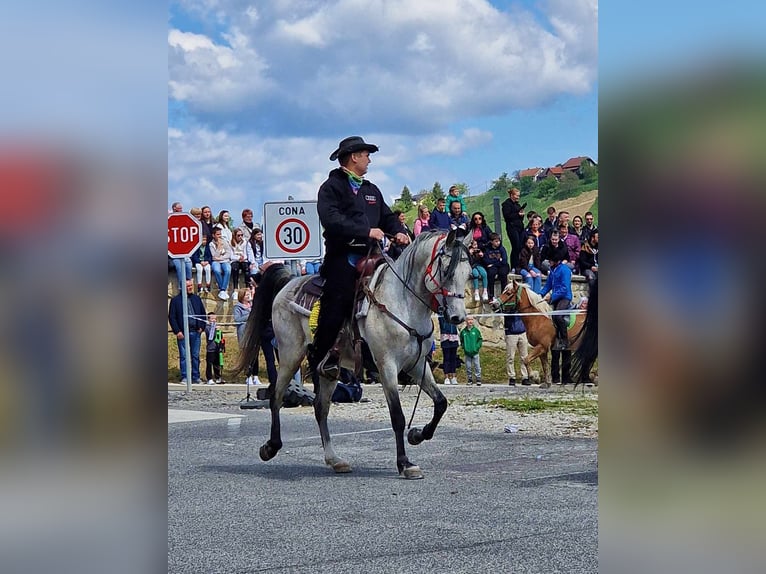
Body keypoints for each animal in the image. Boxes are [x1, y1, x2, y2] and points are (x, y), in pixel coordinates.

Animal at [237, 231, 474, 482]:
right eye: (446, 271)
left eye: (468, 273)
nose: (457, 317)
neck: (402, 302)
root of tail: (290, 281)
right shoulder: (387, 366)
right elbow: (397, 417)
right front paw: (404, 463)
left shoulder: (417, 365)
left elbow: (441, 403)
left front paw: (418, 435)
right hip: (290, 354)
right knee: (276, 397)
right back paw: (270, 447)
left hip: (327, 370)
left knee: (321, 408)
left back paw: (334, 460)